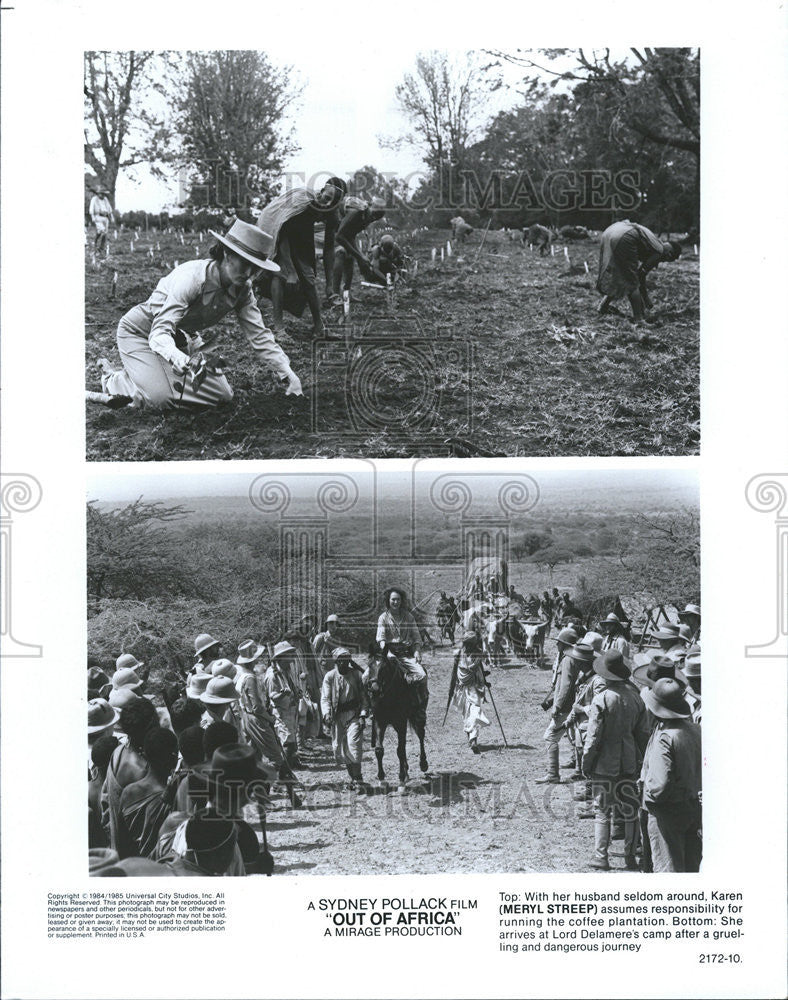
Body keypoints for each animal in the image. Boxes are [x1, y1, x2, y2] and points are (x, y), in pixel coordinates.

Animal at [364, 644, 428, 792]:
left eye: (384, 667)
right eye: (370, 665)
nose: (374, 689)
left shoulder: (401, 722)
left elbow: (400, 751)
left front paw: (401, 781)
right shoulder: (379, 722)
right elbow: (379, 750)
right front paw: (382, 779)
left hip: (418, 717)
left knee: (421, 736)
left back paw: (423, 764)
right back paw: (407, 771)